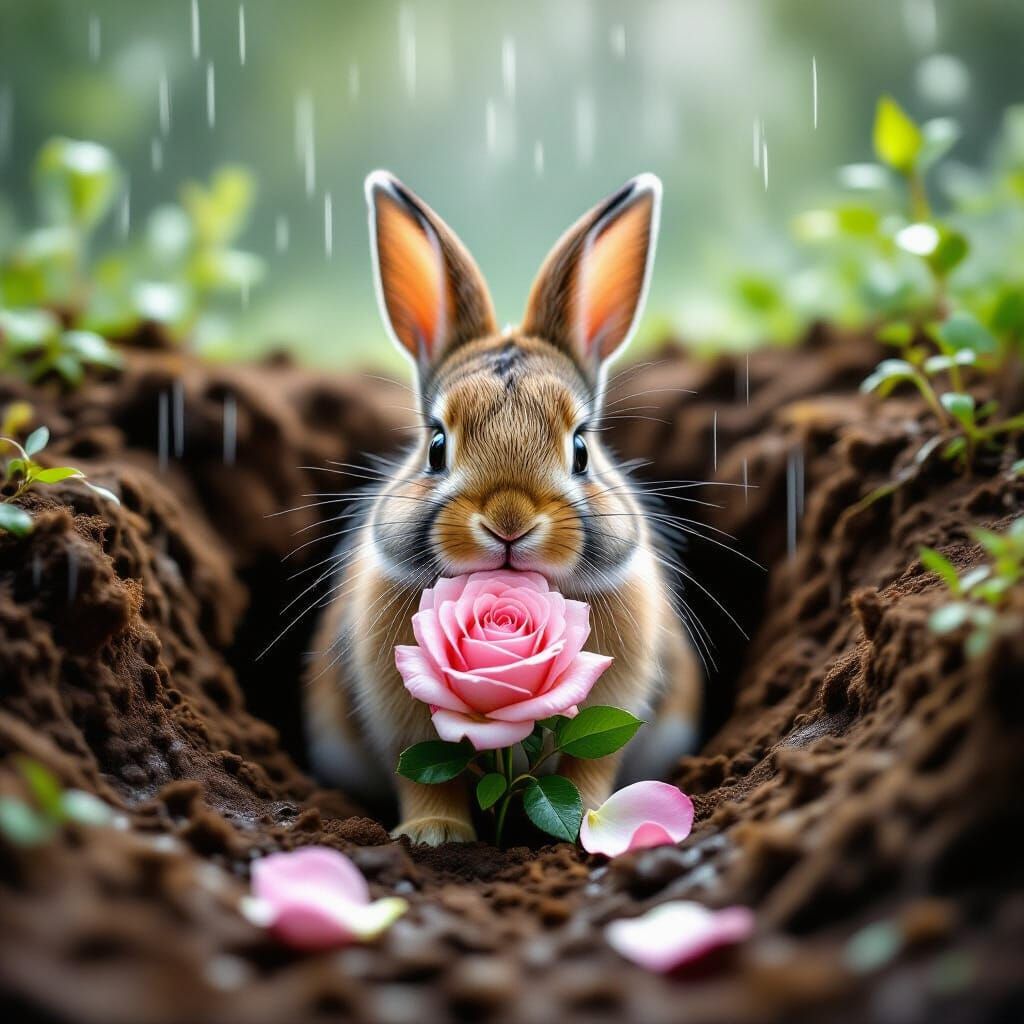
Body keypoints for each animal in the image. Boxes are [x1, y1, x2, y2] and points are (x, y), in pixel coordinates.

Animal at [305, 170, 702, 846]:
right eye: (436, 446)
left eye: (581, 448)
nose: (509, 521)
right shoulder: (402, 719)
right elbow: (422, 776)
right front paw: (434, 834)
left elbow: (591, 768)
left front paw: (592, 825)